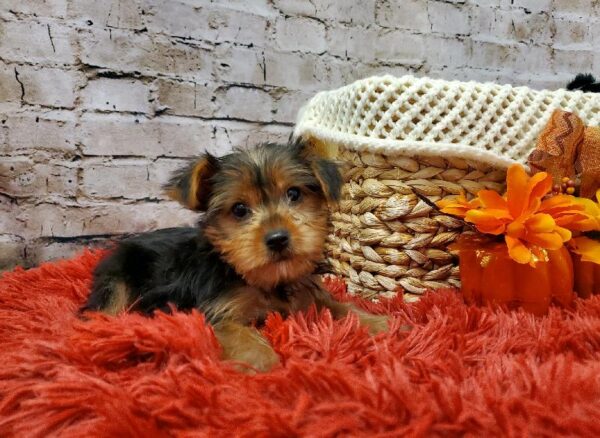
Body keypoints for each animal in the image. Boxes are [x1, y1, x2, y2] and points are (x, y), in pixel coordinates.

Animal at [82, 141, 390, 372]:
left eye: (294, 193)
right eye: (239, 209)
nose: (278, 238)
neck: (263, 278)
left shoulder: (307, 293)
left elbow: (336, 305)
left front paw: (378, 322)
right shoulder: (216, 310)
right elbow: (238, 333)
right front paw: (265, 362)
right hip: (117, 276)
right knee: (105, 306)